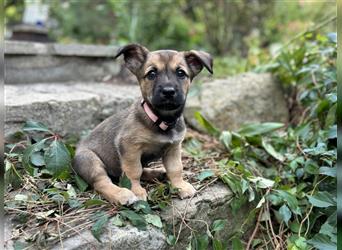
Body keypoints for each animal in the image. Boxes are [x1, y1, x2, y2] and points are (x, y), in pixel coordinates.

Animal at [73, 44, 212, 205]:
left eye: (181, 73)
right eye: (151, 73)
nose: (168, 92)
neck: (161, 120)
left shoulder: (173, 148)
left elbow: (176, 169)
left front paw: (180, 186)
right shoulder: (130, 148)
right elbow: (133, 172)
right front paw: (136, 191)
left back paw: (157, 173)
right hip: (90, 161)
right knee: (102, 182)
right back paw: (121, 194)